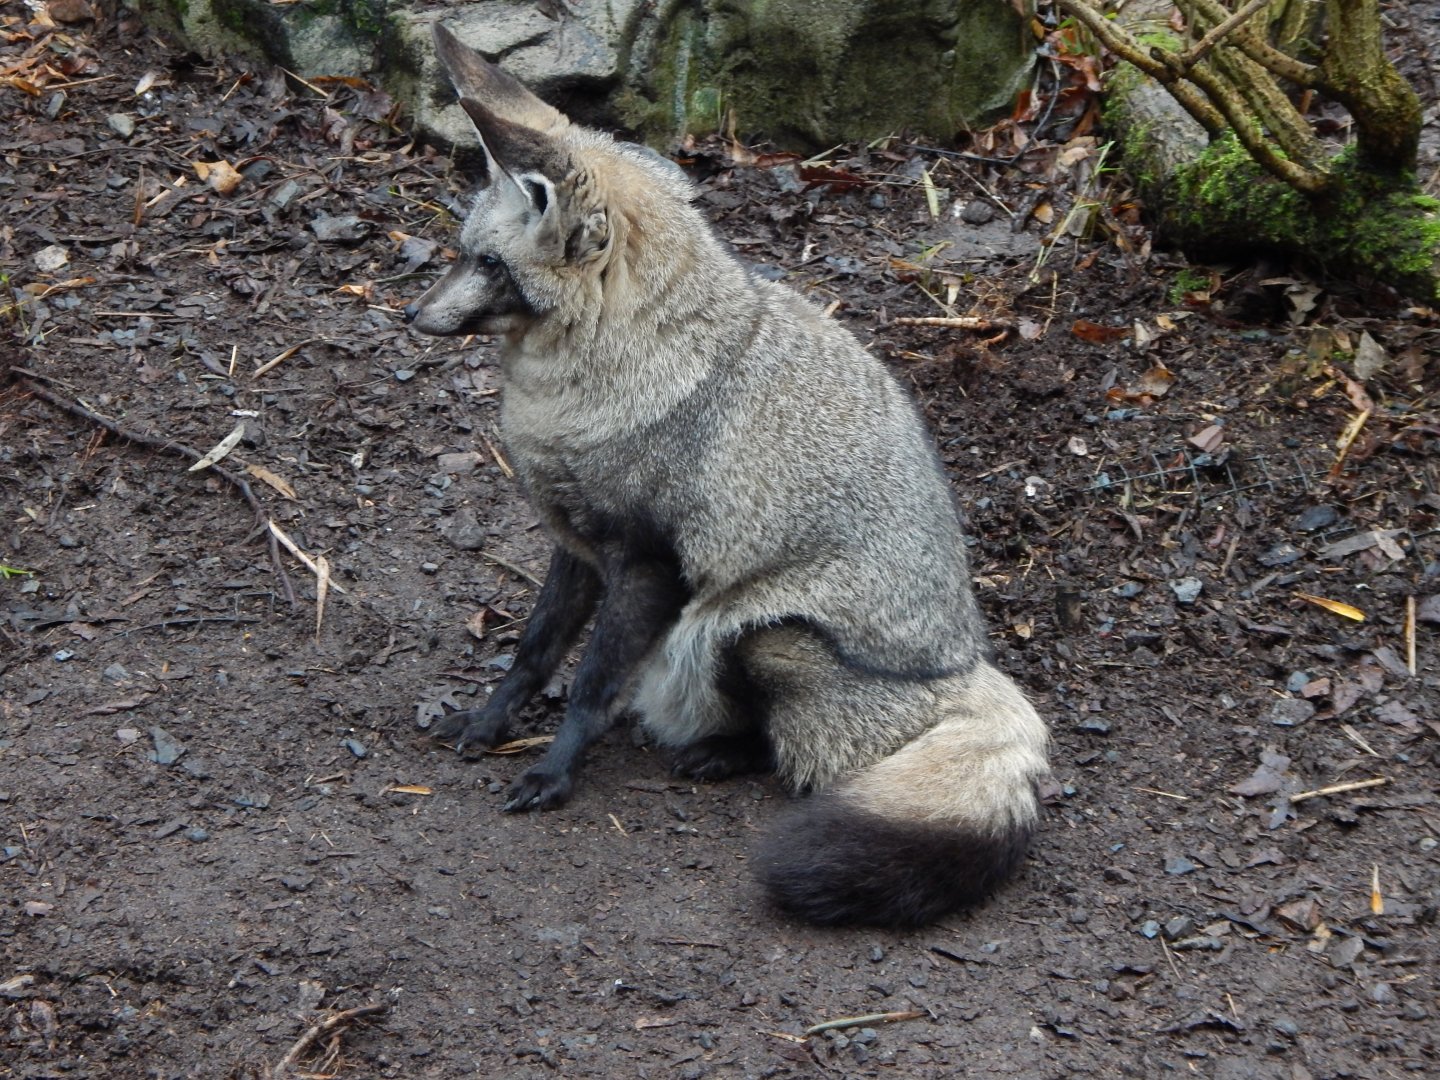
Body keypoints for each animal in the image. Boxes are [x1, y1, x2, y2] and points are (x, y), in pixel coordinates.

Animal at [403, 21, 1050, 927]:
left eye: (488, 264)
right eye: (467, 255)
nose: (411, 313)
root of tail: (962, 673)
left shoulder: (650, 566)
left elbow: (589, 685)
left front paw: (554, 772)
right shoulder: (576, 545)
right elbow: (534, 651)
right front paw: (490, 722)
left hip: (742, 630)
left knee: (778, 746)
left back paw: (714, 754)